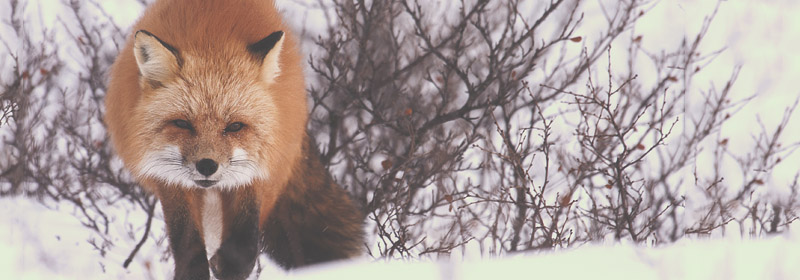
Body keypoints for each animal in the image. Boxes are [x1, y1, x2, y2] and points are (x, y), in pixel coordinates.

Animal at [103, 1, 362, 278]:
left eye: (235, 126)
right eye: (183, 124)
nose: (207, 166)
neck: (211, 38)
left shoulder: (257, 172)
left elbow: (245, 244)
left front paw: (228, 264)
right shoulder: (169, 180)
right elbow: (188, 244)